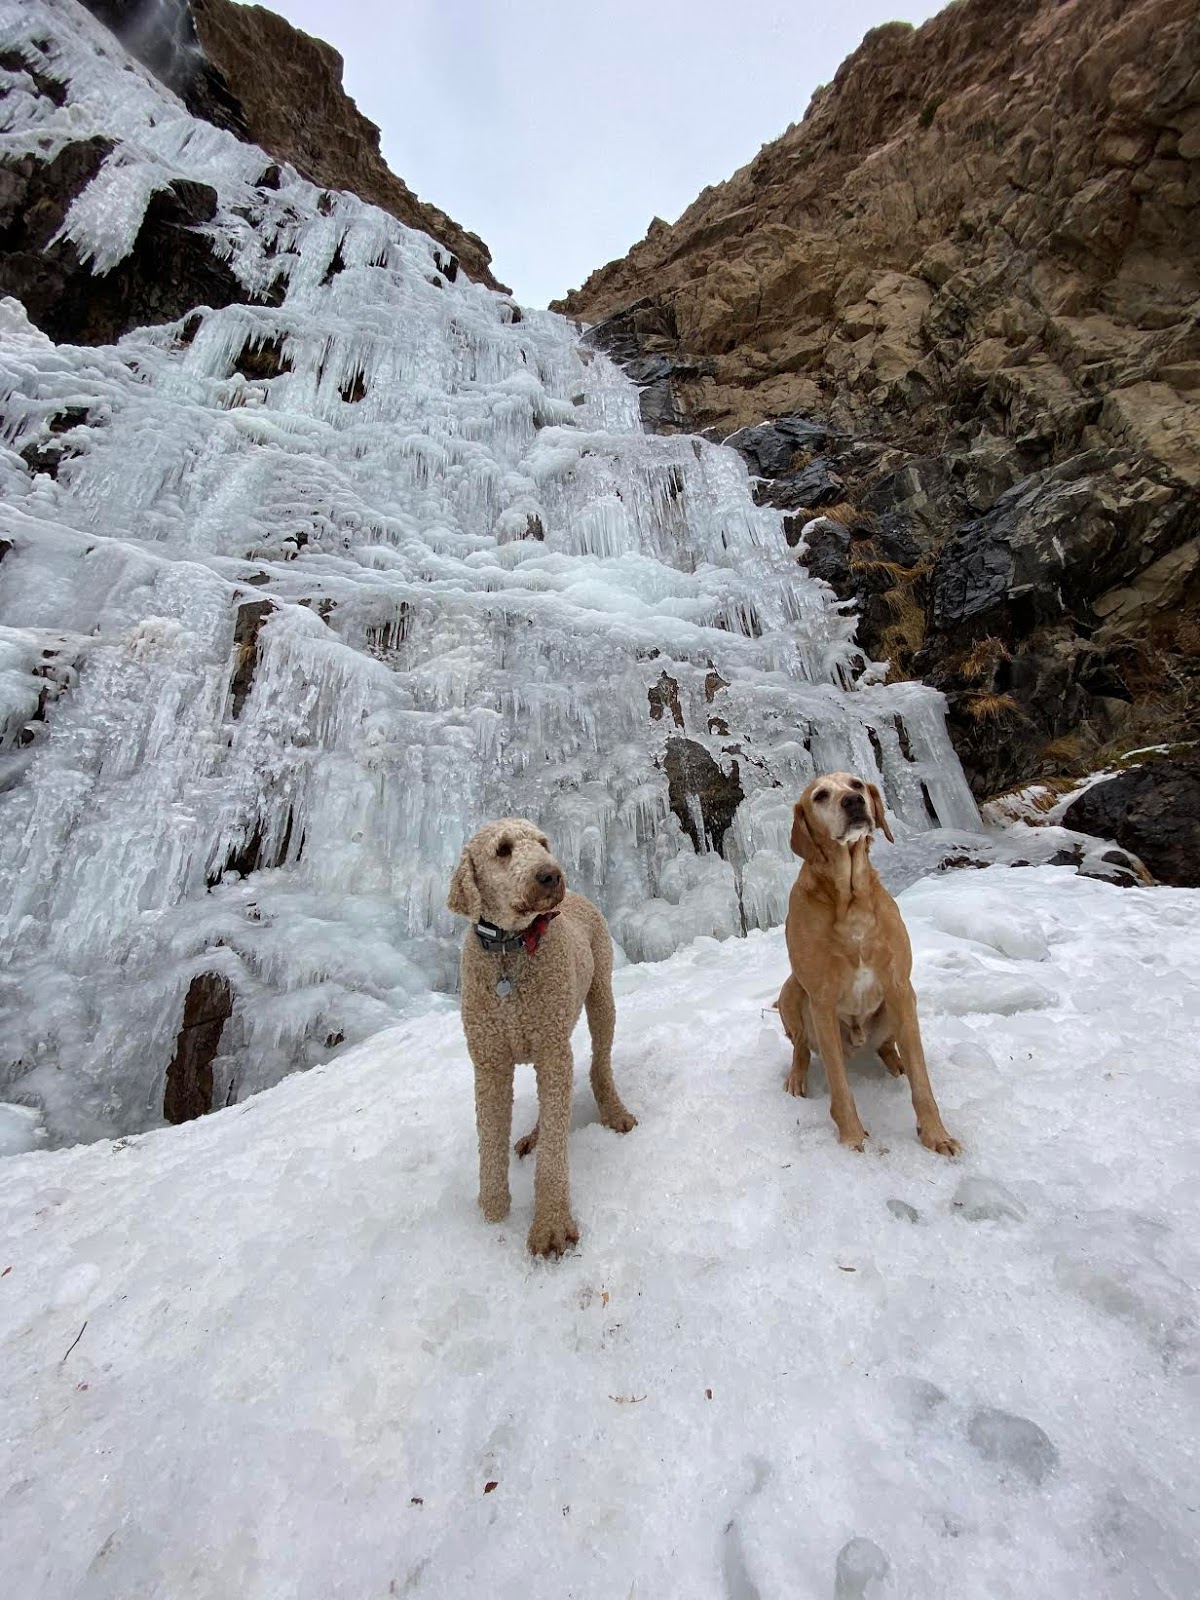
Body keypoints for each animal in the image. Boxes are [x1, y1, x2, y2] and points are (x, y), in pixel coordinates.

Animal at [448, 819, 640, 1254]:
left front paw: (551, 1224)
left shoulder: (553, 1049)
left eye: (543, 843)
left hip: (599, 996)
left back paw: (614, 1111)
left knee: (599, 1063)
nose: (551, 874)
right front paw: (492, 1216)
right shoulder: (490, 1061)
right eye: (503, 849)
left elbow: (555, 1146)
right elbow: (490, 1141)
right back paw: (532, 1136)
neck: (511, 947)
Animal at [780, 771, 960, 1158]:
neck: (850, 899)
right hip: (791, 991)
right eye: (820, 796)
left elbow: (923, 1083)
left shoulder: (899, 985)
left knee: (889, 1046)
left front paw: (936, 1135)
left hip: (902, 1005)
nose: (853, 802)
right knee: (800, 1047)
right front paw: (852, 1138)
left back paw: (898, 1062)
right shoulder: (821, 1000)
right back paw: (796, 1079)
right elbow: (839, 1087)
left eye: (856, 784)